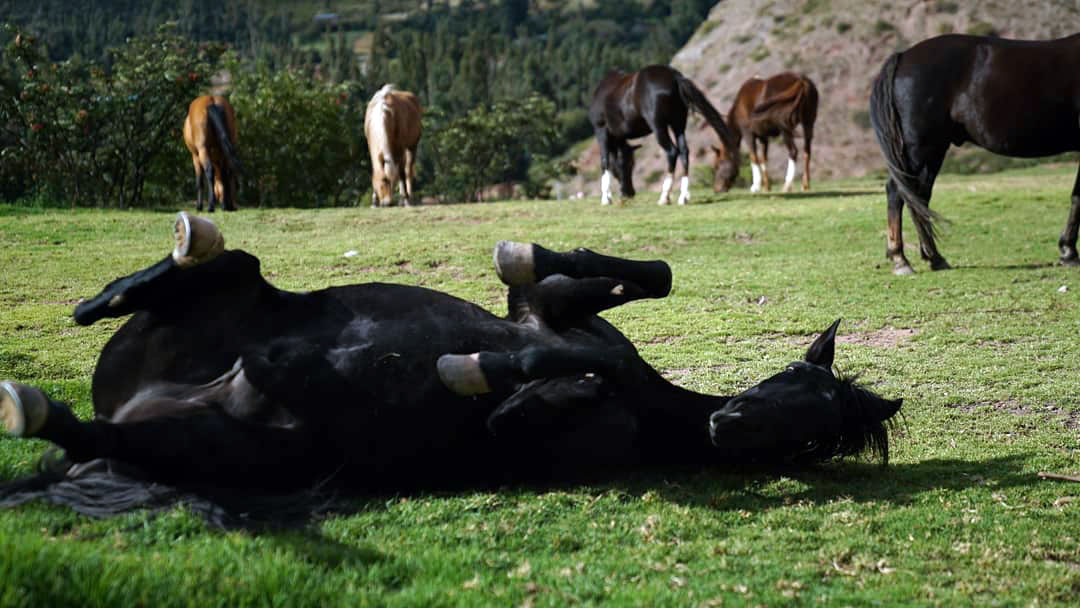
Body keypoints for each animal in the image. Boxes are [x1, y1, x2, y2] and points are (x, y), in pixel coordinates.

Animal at [0, 213, 902, 522]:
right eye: (799, 383)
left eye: (816, 442)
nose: (728, 425)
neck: (659, 408)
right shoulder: (552, 309)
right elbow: (643, 276)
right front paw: (519, 254)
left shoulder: (548, 424)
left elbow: (542, 387)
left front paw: (475, 371)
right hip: (227, 307)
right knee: (224, 267)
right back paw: (148, 271)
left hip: (240, 448)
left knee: (90, 436)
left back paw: (33, 407)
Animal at [591, 65, 743, 206]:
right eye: (630, 164)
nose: (629, 193)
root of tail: (674, 76)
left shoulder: (601, 129)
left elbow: (604, 161)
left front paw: (605, 198)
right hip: (678, 124)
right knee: (684, 152)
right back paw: (683, 197)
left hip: (659, 126)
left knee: (672, 152)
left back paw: (664, 197)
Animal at [868, 30, 1080, 273]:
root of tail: (903, 57)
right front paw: (1069, 252)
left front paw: (1068, 251)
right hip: (921, 149)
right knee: (898, 192)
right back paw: (901, 259)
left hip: (932, 152)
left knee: (919, 197)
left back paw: (933, 258)